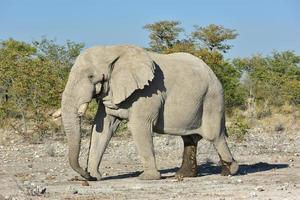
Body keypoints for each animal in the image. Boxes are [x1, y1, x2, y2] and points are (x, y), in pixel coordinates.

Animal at [60, 44, 239, 180]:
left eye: (91, 76)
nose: (86, 175)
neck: (112, 49)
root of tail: (213, 73)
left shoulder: (148, 92)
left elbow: (139, 126)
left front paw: (147, 178)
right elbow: (103, 127)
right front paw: (96, 177)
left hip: (212, 99)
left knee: (215, 136)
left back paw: (230, 171)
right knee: (189, 138)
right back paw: (183, 175)